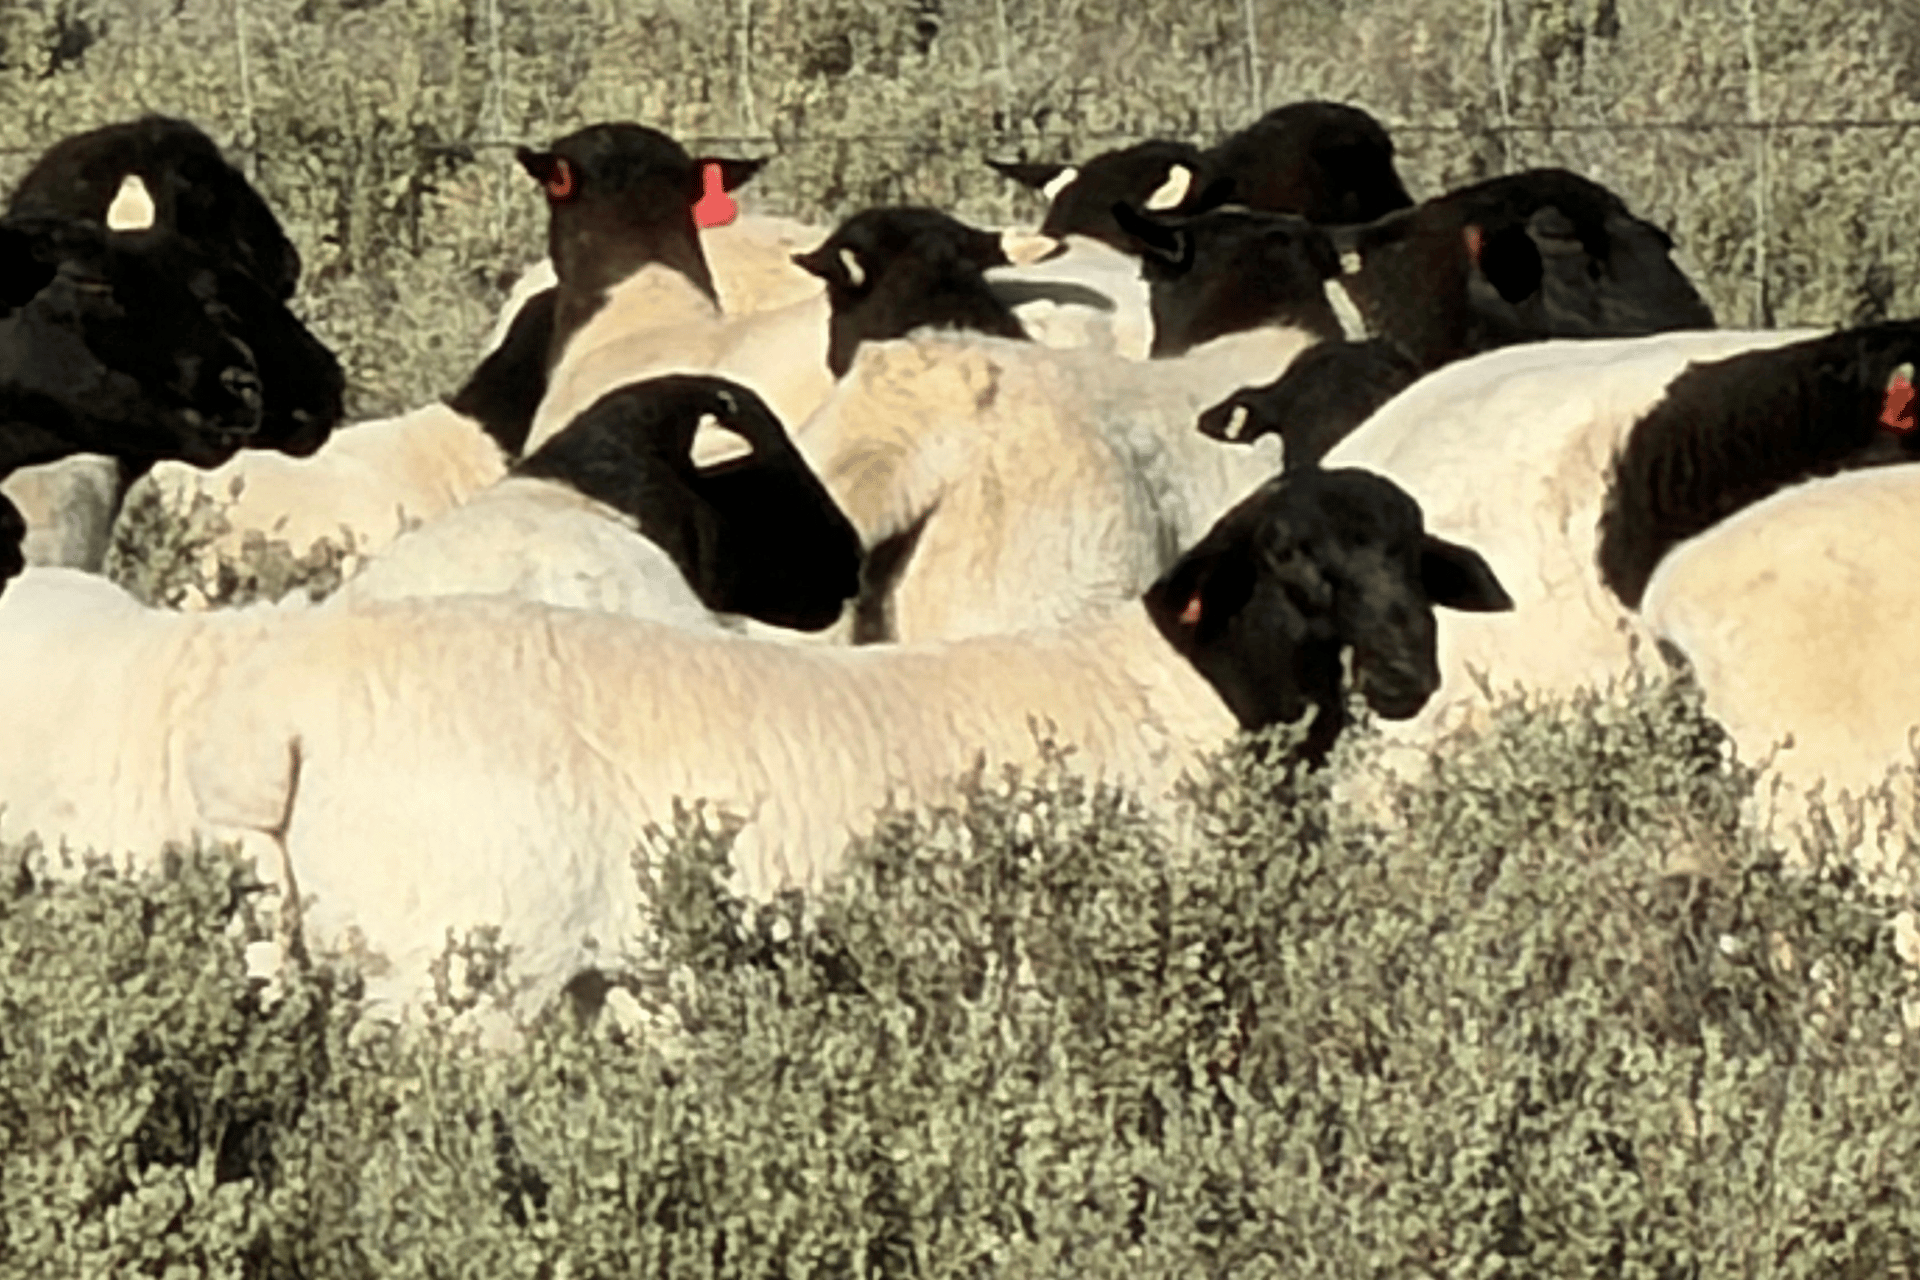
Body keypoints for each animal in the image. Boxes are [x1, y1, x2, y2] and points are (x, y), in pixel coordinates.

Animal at [184, 467, 1514, 1025]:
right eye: (1288, 555)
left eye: (1416, 550)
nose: (1412, 673)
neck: (1183, 691)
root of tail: (280, 718)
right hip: (458, 977)